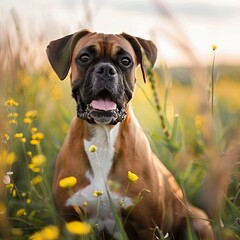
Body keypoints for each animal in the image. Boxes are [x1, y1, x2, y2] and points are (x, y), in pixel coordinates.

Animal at [47, 29, 214, 239]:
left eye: (125, 61)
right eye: (84, 58)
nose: (105, 69)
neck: (103, 139)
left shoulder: (147, 228)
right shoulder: (70, 224)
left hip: (199, 222)